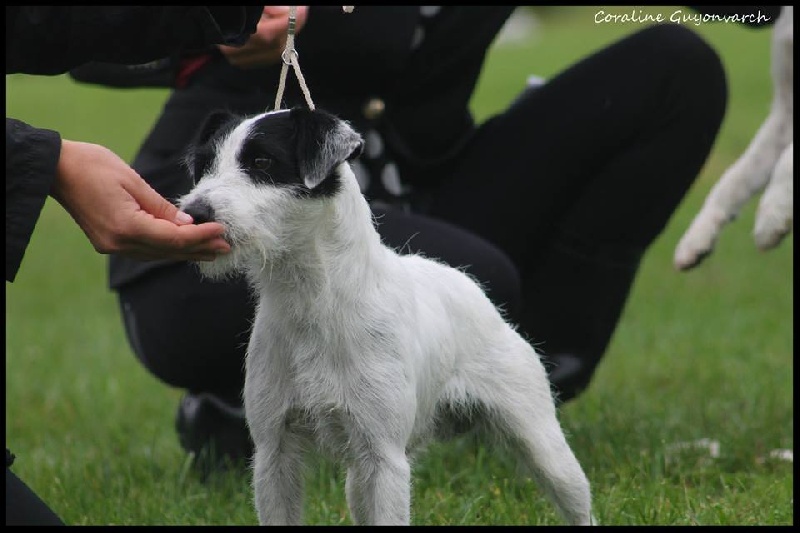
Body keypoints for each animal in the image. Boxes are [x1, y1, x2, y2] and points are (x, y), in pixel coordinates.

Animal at [178, 107, 596, 524]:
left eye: (262, 162)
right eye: (204, 167)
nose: (194, 212)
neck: (314, 299)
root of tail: (469, 287)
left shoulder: (384, 458)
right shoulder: (274, 454)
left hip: (544, 446)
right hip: (358, 479)